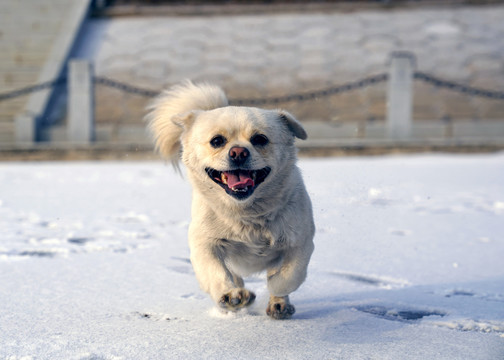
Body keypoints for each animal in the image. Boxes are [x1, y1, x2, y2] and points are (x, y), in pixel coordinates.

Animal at [146, 81, 314, 318]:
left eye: (260, 139)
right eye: (217, 141)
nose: (238, 152)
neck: (246, 213)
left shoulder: (300, 242)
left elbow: (289, 276)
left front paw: (276, 290)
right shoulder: (204, 244)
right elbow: (215, 273)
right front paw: (231, 296)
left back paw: (279, 305)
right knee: (232, 276)